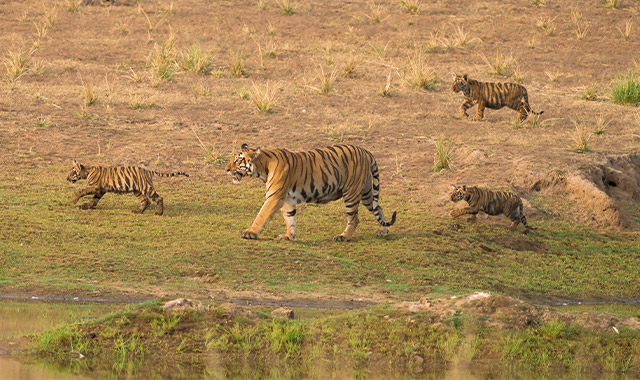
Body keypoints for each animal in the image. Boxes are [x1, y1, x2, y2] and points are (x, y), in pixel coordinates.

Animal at [225, 144, 396, 242]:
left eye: (237, 160)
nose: (226, 169)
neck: (262, 168)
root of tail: (366, 151)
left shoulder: (274, 197)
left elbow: (262, 215)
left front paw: (250, 233)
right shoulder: (288, 199)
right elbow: (290, 219)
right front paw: (288, 236)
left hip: (352, 193)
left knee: (354, 219)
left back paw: (343, 237)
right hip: (366, 192)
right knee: (378, 208)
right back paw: (383, 231)